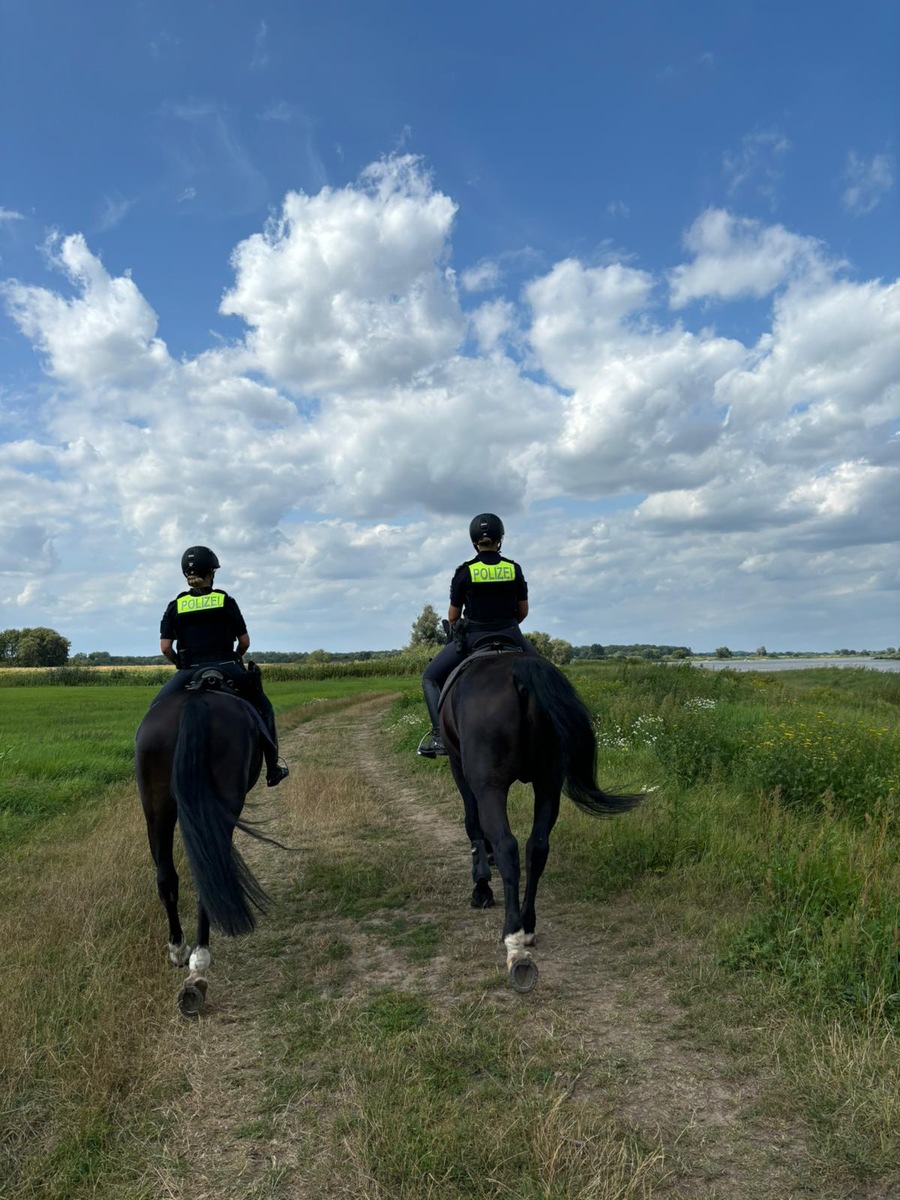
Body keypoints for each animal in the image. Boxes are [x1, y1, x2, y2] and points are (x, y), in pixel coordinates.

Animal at [441, 652, 643, 988]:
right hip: (548, 783)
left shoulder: (460, 769)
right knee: (537, 848)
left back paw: (513, 938)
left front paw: (481, 888)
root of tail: (520, 670)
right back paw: (528, 926)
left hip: (491, 785)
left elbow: (473, 823)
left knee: (508, 847)